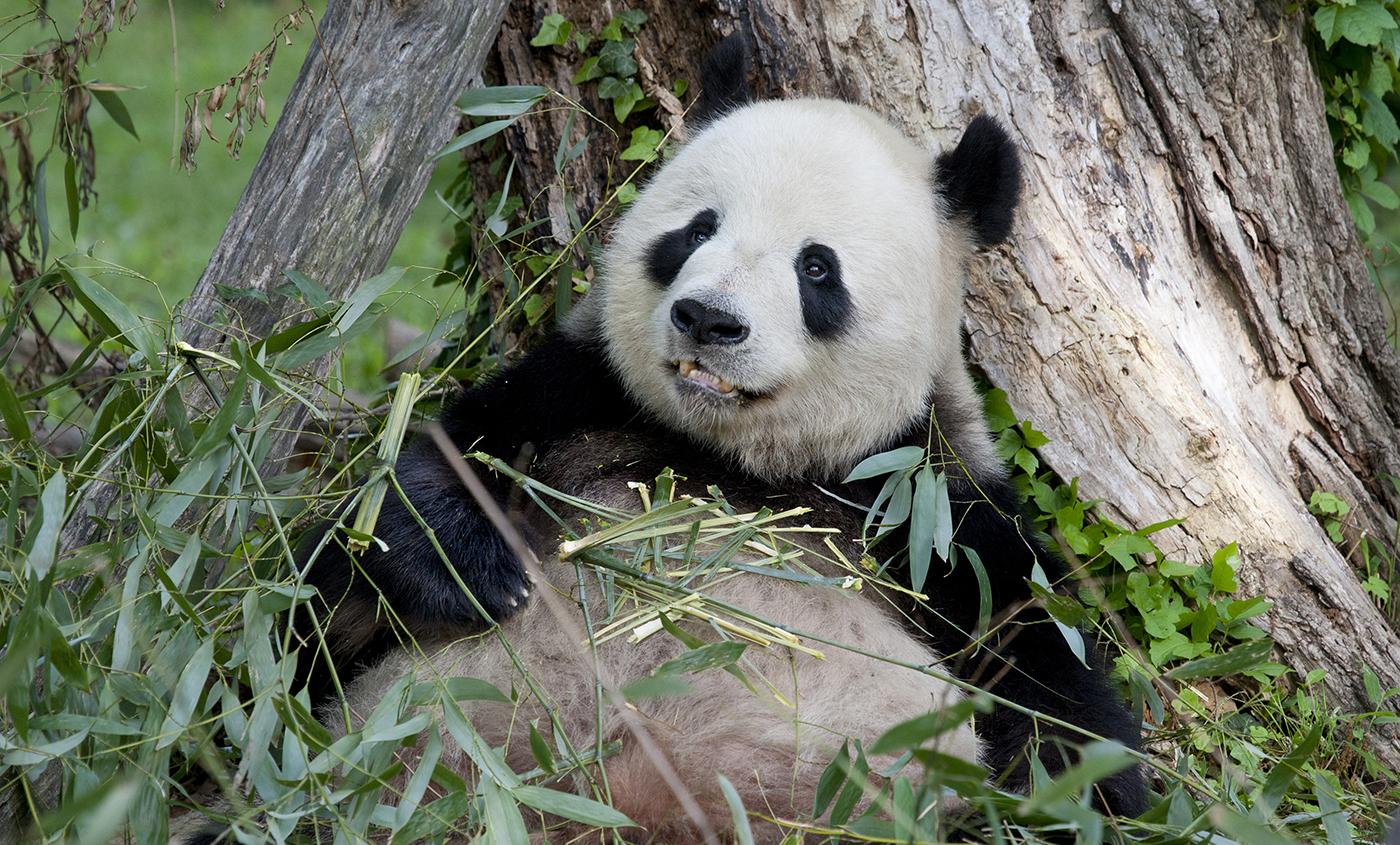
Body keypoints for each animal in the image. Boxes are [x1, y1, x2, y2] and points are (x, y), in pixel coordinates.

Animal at [298, 31, 1148, 839]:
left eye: (817, 268)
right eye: (696, 228)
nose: (708, 319)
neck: (739, 459)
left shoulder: (925, 505)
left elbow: (1041, 682)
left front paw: (1076, 792)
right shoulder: (582, 399)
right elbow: (374, 533)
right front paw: (475, 568)